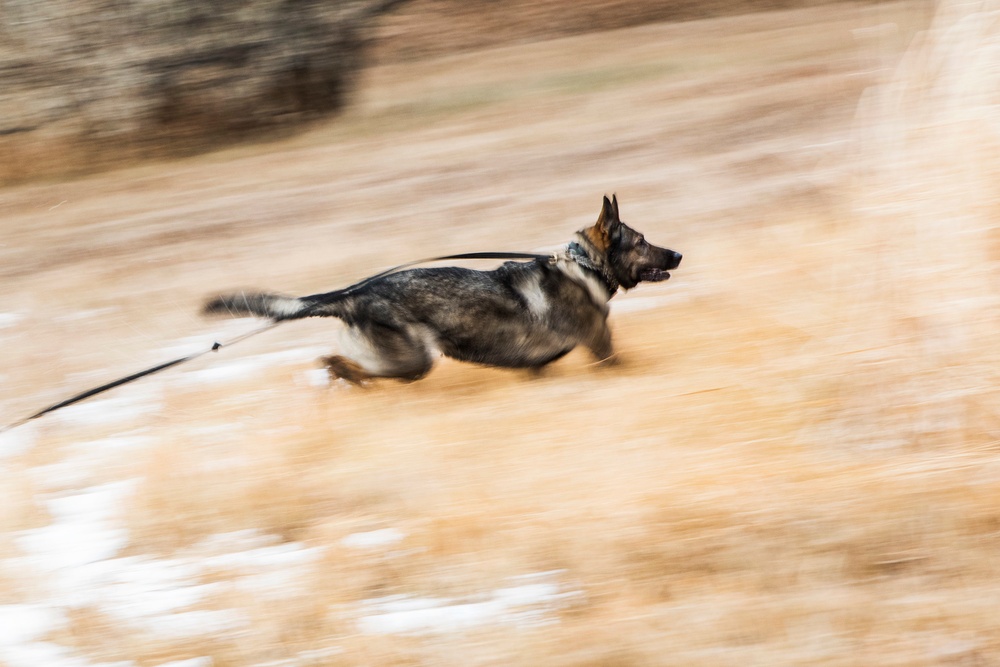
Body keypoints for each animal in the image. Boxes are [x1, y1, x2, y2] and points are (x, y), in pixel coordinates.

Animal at [207, 193, 684, 384]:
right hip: (413, 361)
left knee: (337, 362)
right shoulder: (604, 351)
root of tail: (352, 295)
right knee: (339, 364)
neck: (584, 267)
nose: (678, 255)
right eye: (642, 242)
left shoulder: (535, 369)